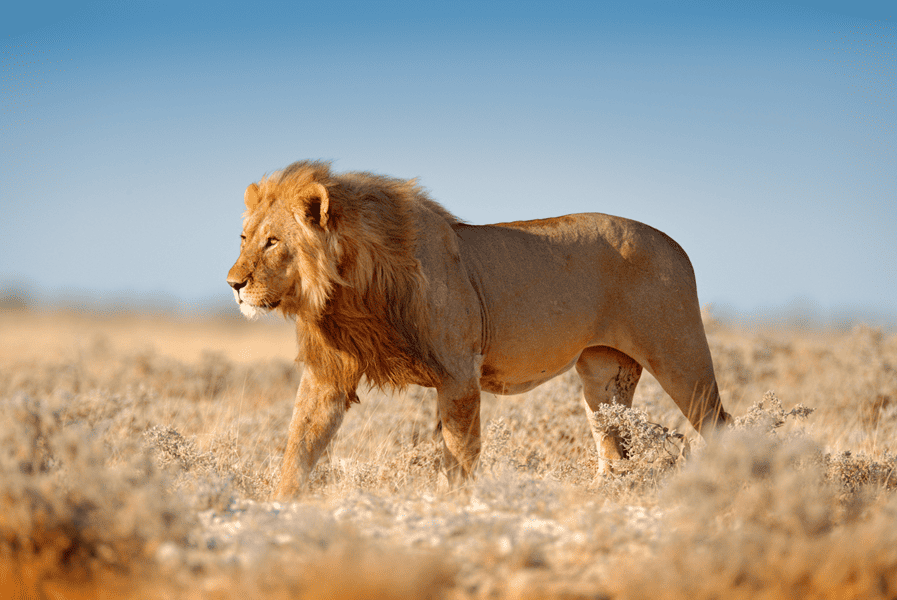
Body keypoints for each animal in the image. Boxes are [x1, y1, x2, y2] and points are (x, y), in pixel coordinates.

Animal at [228, 158, 732, 496]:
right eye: (245, 237)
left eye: (272, 242)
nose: (234, 284)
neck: (347, 290)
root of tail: (675, 245)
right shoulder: (327, 373)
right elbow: (300, 445)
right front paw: (278, 509)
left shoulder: (459, 375)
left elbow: (458, 454)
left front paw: (457, 505)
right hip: (603, 376)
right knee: (613, 448)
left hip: (681, 356)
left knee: (721, 424)